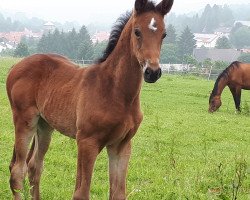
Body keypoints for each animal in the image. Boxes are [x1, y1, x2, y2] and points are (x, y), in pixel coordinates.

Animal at [6, 0, 174, 199]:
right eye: (137, 31)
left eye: (164, 34)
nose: (152, 72)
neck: (116, 92)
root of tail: (16, 66)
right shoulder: (87, 142)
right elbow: (81, 192)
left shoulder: (121, 145)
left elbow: (118, 193)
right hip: (25, 121)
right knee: (18, 170)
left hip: (45, 125)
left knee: (34, 166)